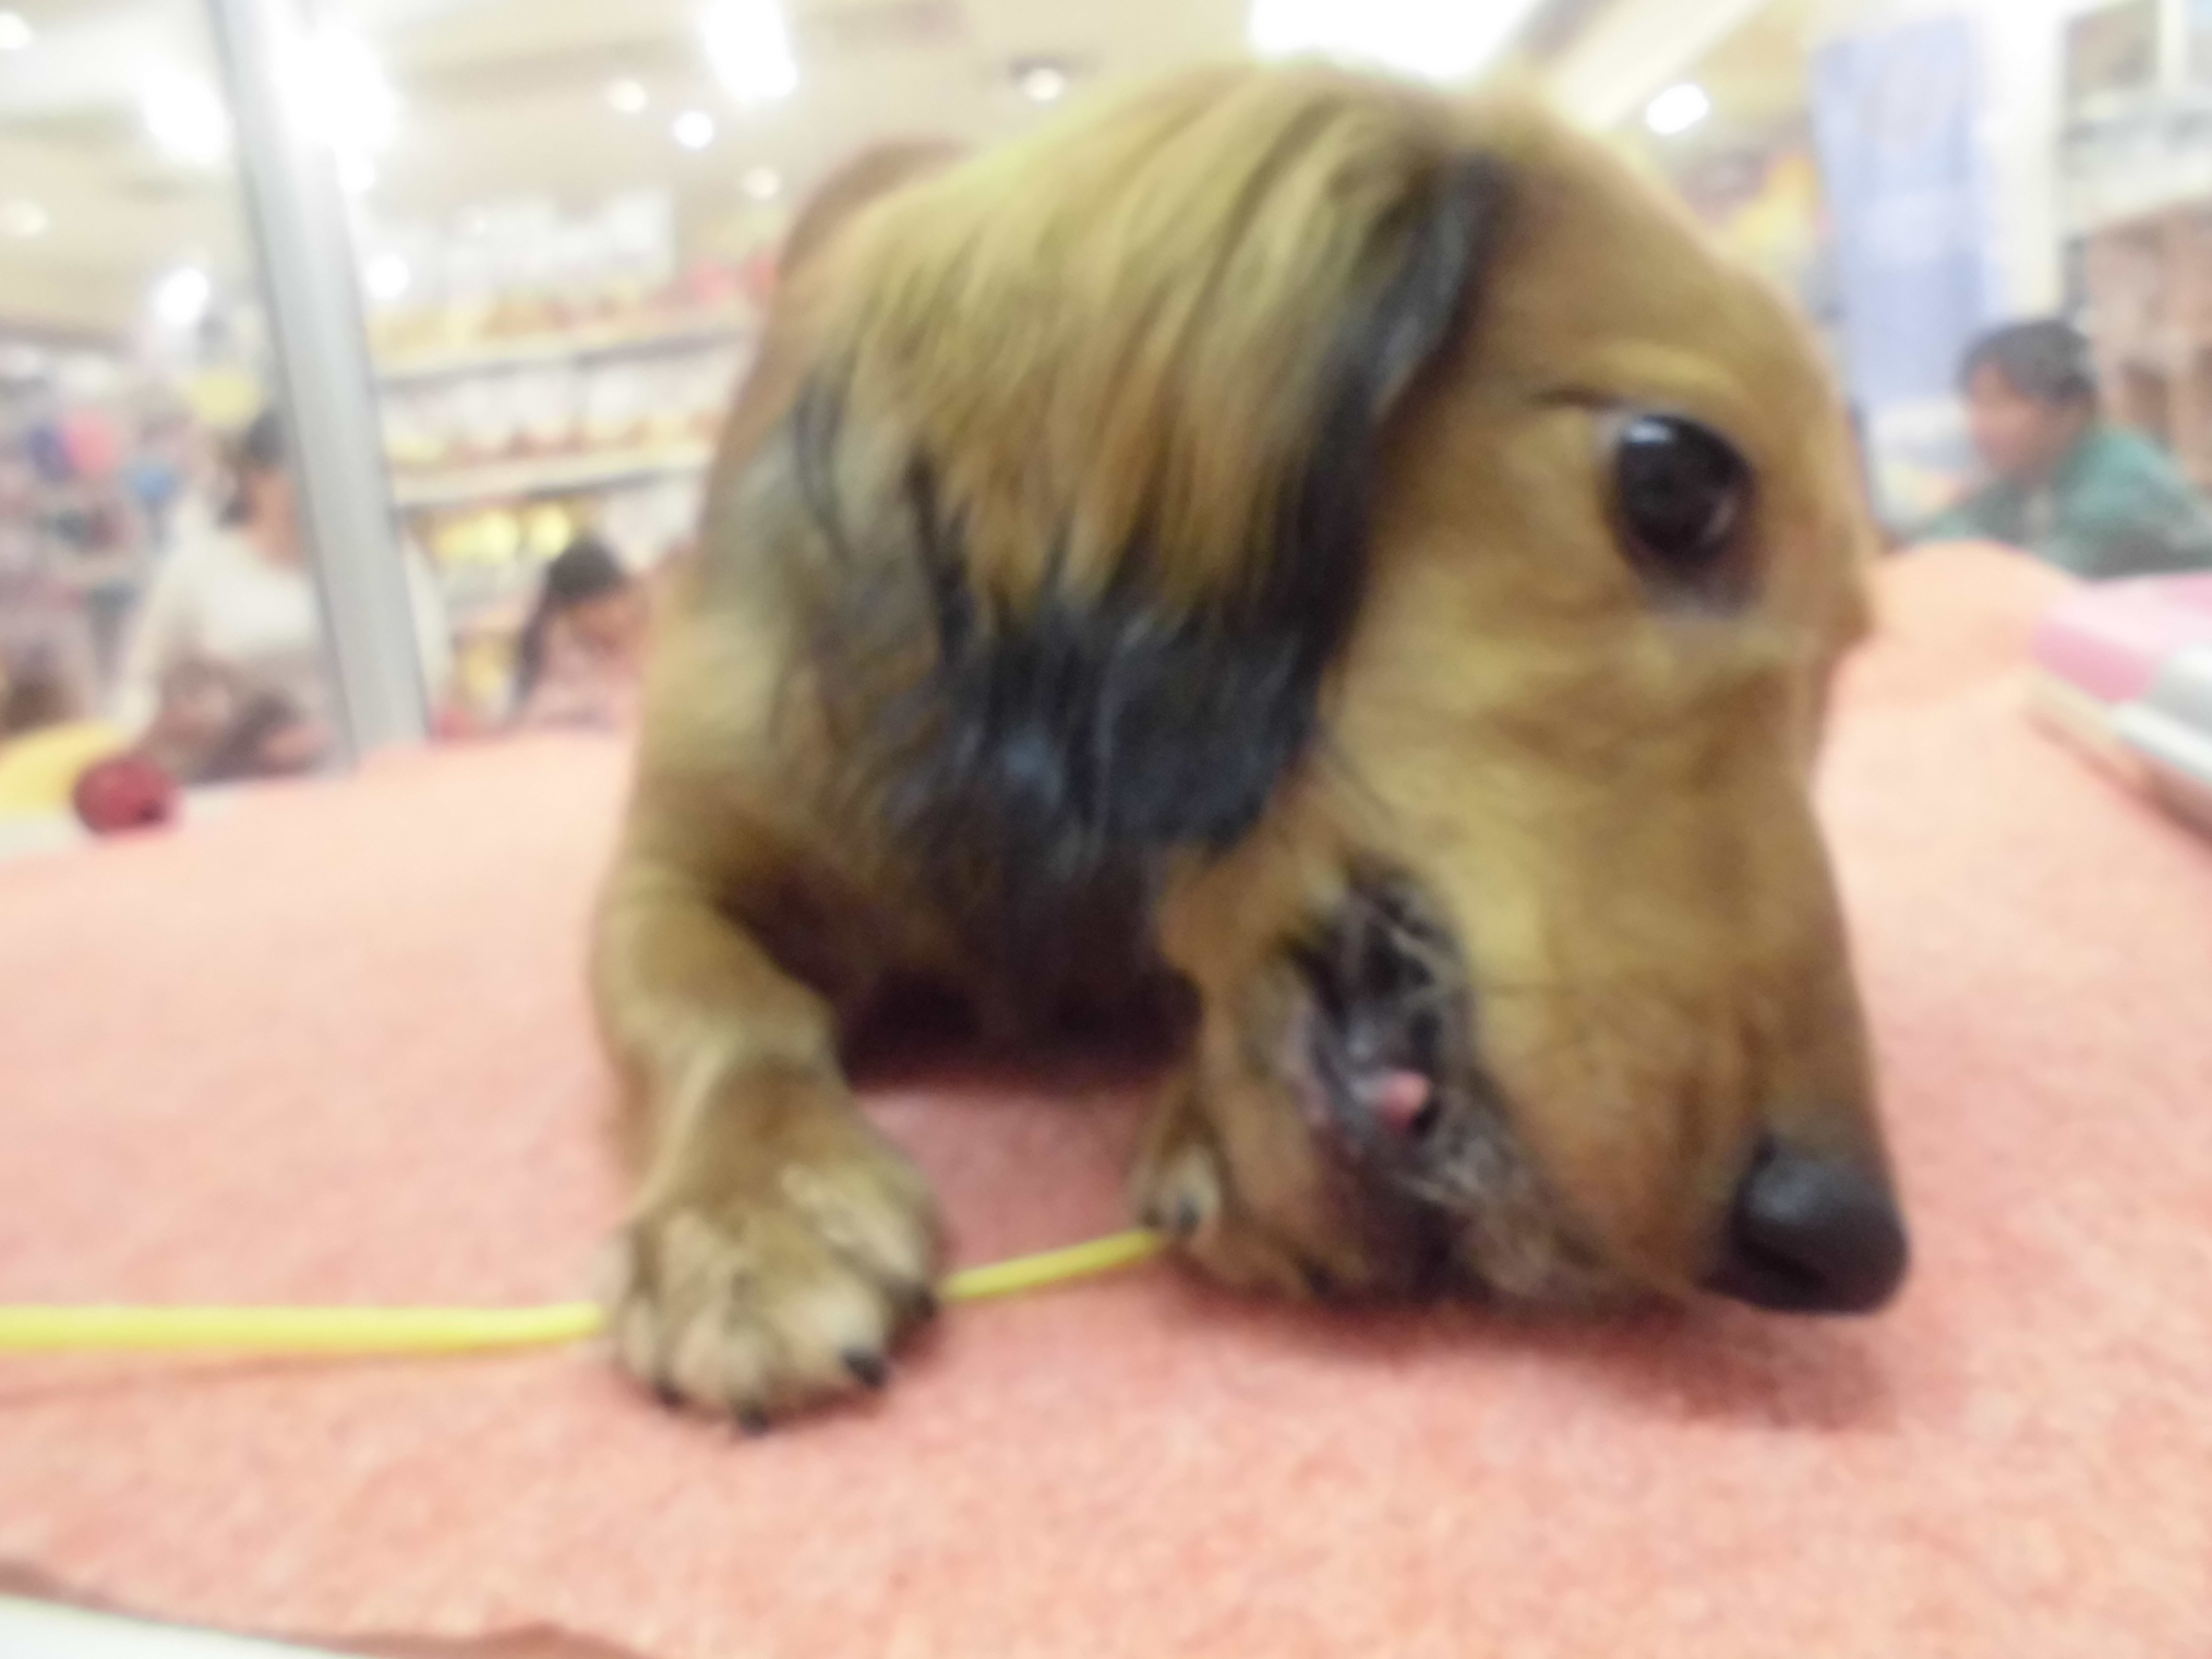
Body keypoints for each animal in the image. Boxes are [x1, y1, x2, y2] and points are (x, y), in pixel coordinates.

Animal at [590, 64, 1908, 1425]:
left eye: (1840, 675)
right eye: (1675, 478)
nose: (1849, 1245)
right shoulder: (668, 868)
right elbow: (718, 1011)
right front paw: (750, 1210)